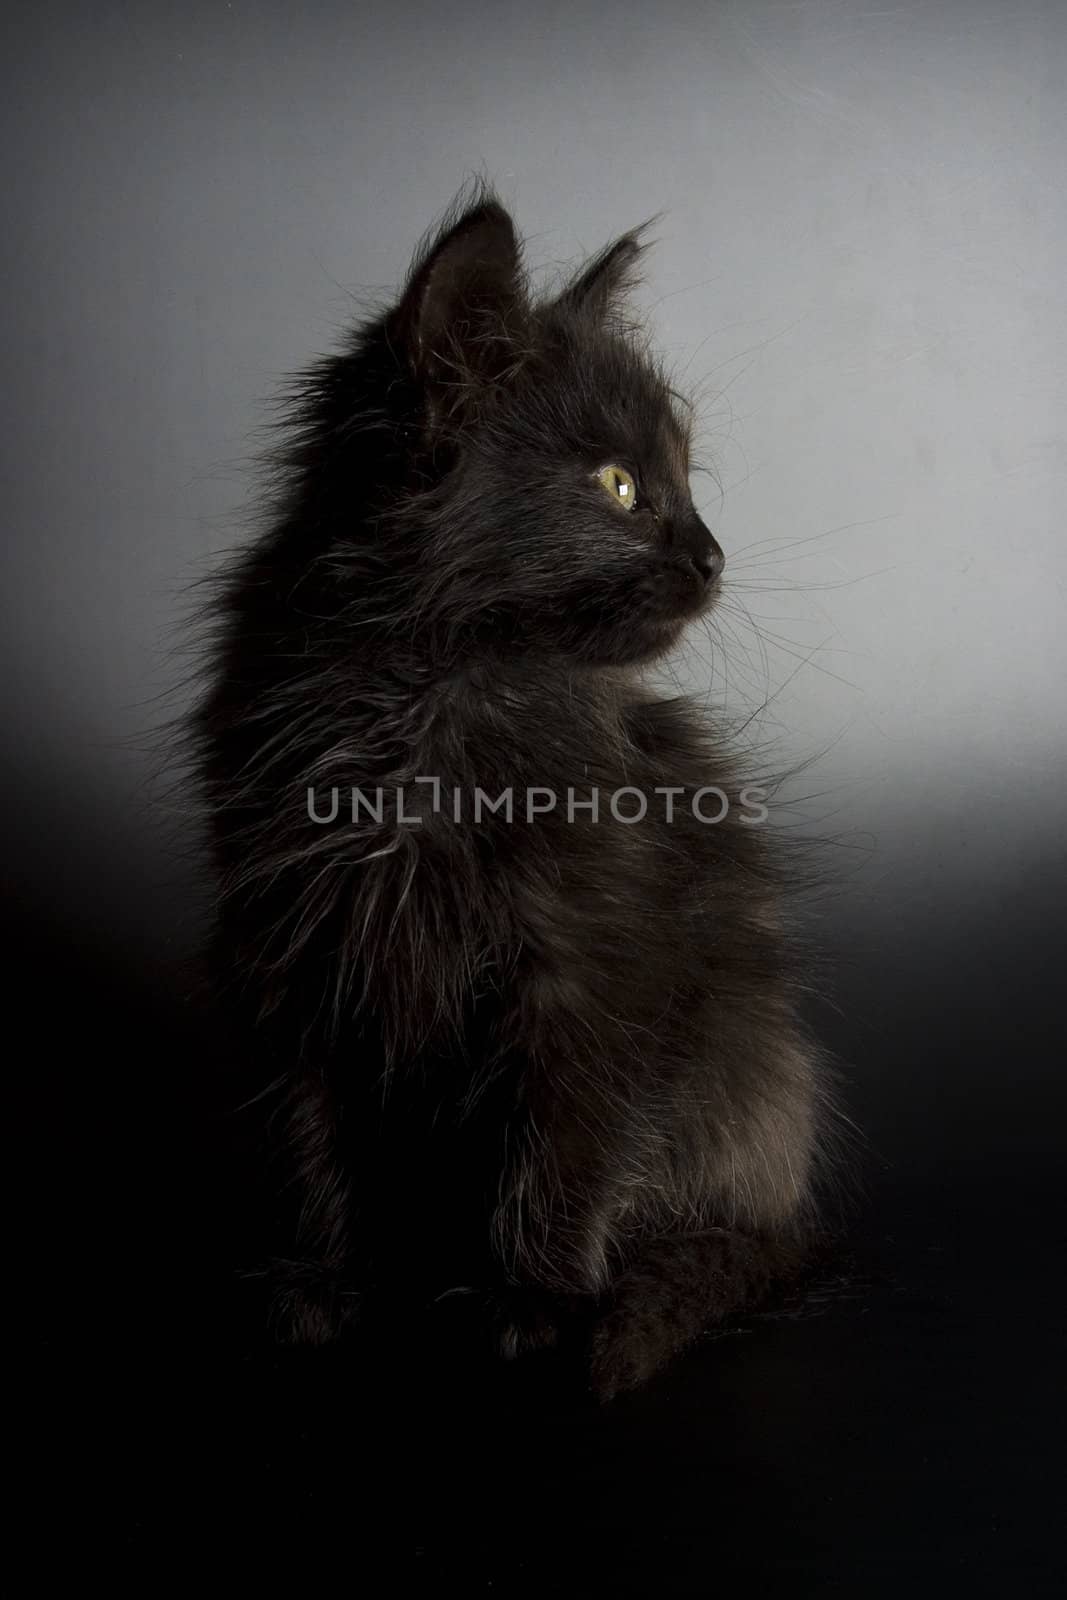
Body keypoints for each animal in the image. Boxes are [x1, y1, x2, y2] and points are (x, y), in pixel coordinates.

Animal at [194, 187, 844, 1395]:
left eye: (685, 476)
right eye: (619, 486)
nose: (712, 556)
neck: (428, 705)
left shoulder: (587, 959)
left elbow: (566, 1142)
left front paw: (534, 1303)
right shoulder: (292, 946)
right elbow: (309, 1139)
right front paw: (321, 1282)